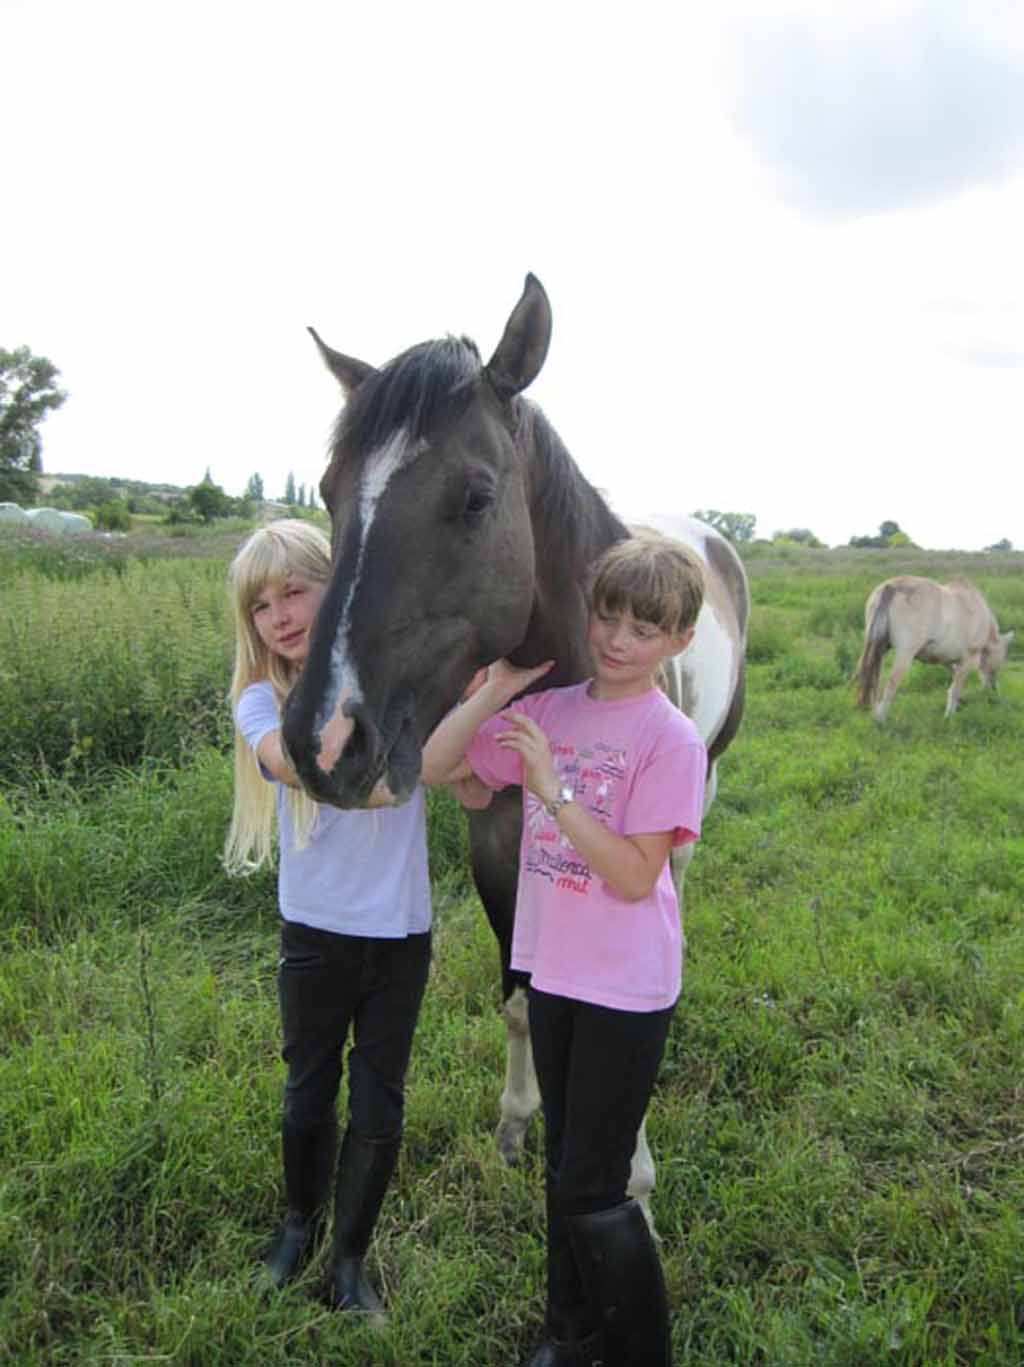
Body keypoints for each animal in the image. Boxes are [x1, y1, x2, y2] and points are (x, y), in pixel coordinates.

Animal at [283, 274, 749, 1219]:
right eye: (328, 490)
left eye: (474, 497)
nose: (323, 740)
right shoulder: (497, 843)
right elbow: (522, 1000)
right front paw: (514, 1125)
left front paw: (633, 1171)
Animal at [853, 576, 1011, 727]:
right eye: (1002, 659)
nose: (993, 691)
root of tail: (891, 587)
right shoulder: (967, 659)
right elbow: (955, 688)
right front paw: (949, 717)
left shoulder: (946, 659)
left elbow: (953, 678)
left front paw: (960, 703)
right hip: (904, 655)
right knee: (890, 686)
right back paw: (880, 721)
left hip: (880, 650)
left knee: (875, 682)